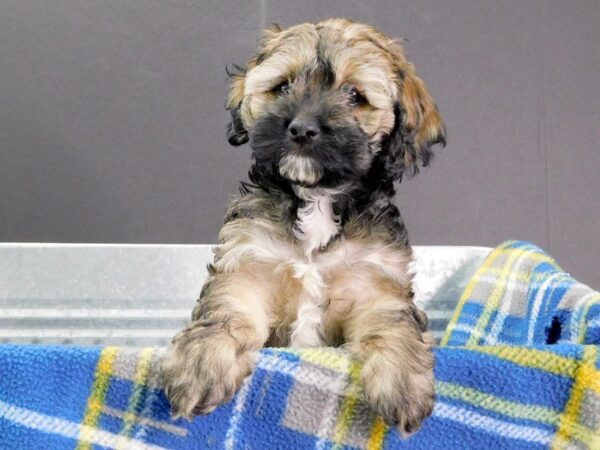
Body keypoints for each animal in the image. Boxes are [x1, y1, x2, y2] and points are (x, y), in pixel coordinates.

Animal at [163, 18, 446, 436]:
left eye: (354, 95)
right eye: (283, 87)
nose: (301, 129)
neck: (317, 199)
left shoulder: (376, 281)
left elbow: (390, 322)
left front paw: (402, 382)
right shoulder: (248, 261)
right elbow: (229, 308)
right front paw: (202, 362)